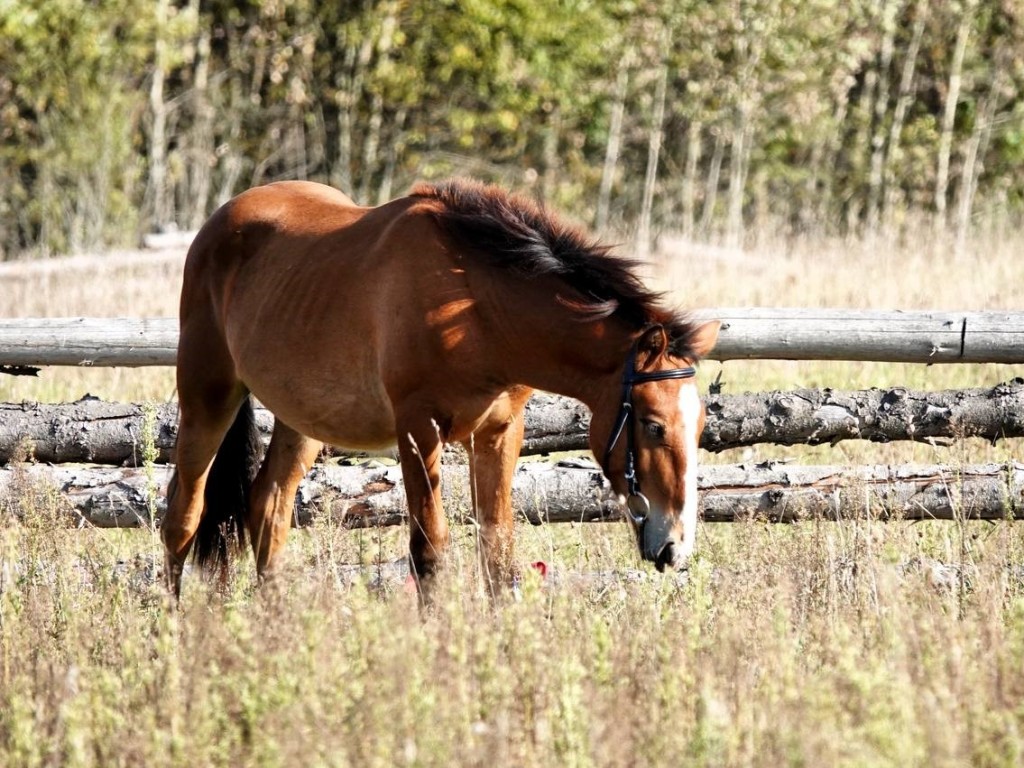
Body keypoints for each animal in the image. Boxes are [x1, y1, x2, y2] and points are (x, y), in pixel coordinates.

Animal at [161, 177, 720, 598]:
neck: (476, 306)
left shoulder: (499, 433)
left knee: (268, 511)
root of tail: (221, 219)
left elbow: (497, 553)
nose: (676, 547)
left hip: (302, 421)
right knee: (183, 515)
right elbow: (429, 553)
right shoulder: (417, 430)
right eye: (652, 425)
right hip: (208, 398)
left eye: (699, 427)